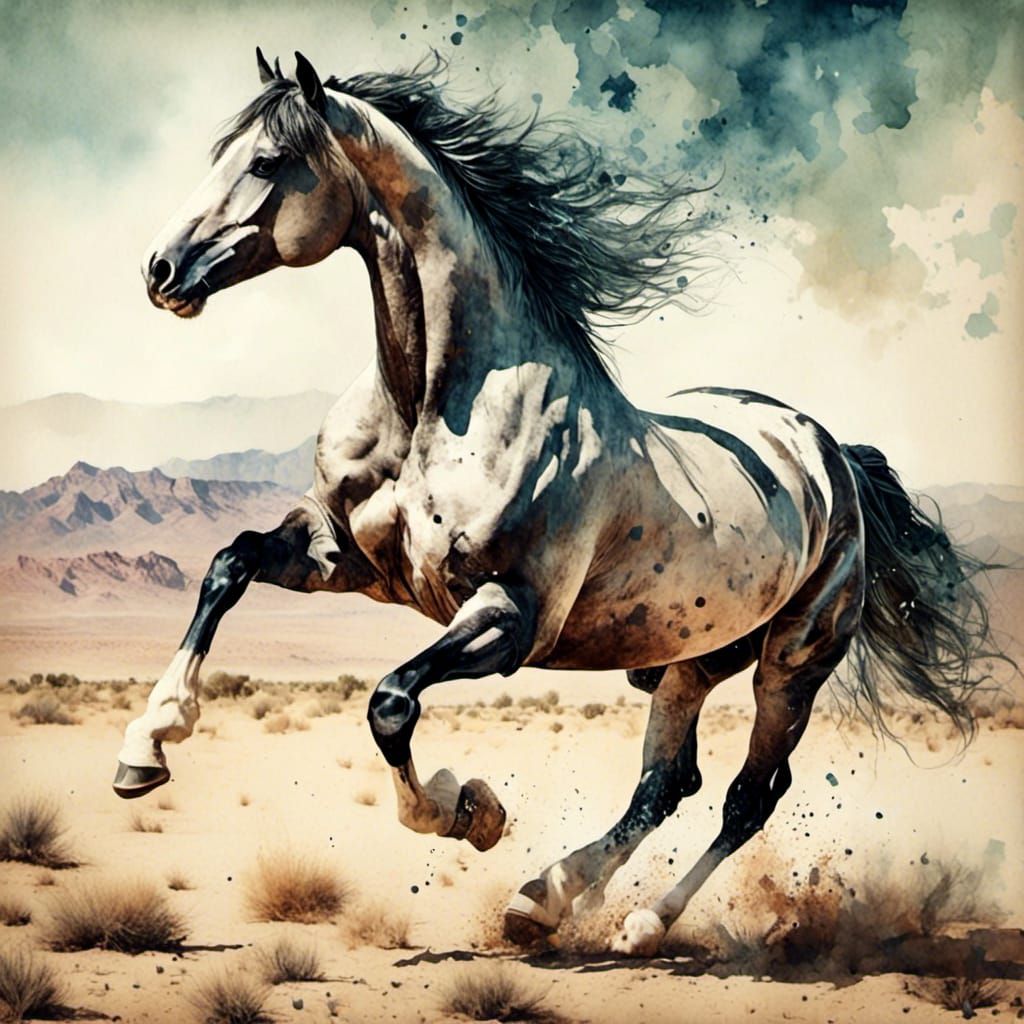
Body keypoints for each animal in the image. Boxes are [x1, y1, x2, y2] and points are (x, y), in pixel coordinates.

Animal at [114, 50, 1001, 956]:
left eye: (266, 161)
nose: (160, 271)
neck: (433, 404)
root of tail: (832, 455)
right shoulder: (341, 552)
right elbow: (228, 566)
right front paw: (147, 747)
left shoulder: (512, 615)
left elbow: (391, 702)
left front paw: (468, 809)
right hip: (692, 657)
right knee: (666, 783)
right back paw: (548, 895)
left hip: (791, 663)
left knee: (745, 798)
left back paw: (633, 919)